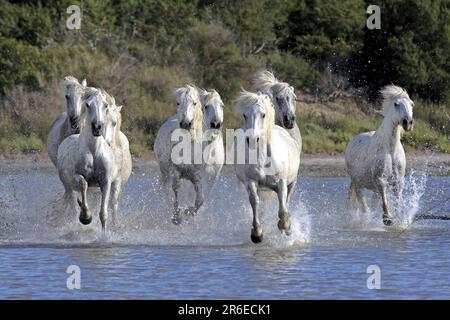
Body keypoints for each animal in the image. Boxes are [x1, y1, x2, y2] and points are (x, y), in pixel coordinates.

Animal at [57, 87, 129, 230]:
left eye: (105, 105)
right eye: (87, 104)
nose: (97, 127)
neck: (94, 152)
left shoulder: (106, 181)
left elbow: (103, 213)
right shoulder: (77, 176)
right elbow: (83, 183)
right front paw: (86, 217)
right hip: (68, 186)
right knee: (73, 204)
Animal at [155, 85, 225, 225]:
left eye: (195, 103)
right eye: (178, 103)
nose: (216, 124)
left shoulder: (202, 178)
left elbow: (200, 200)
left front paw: (188, 211)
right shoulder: (176, 172)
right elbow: (176, 192)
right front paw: (177, 216)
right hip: (165, 173)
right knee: (167, 190)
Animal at [234, 90, 300, 242]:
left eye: (263, 114)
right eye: (244, 115)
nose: (252, 140)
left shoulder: (281, 182)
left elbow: (283, 210)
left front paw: (285, 226)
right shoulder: (251, 181)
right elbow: (255, 202)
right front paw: (257, 234)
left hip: (292, 182)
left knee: (287, 201)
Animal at [344, 85, 414, 225]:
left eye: (411, 104)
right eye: (396, 104)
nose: (408, 122)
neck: (391, 151)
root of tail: (353, 141)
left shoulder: (398, 182)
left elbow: (398, 202)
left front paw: (399, 218)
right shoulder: (380, 180)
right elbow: (384, 200)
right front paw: (387, 218)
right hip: (358, 183)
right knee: (364, 206)